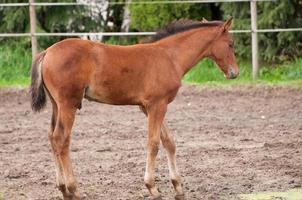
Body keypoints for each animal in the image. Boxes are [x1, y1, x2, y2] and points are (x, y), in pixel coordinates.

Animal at [30, 18, 238, 200]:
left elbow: (169, 141)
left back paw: (63, 189)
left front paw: (178, 187)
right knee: (61, 139)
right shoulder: (157, 105)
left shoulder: (148, 107)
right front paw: (152, 188)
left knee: (52, 137)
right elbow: (153, 143)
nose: (234, 73)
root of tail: (47, 52)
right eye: (231, 44)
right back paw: (74, 189)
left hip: (56, 105)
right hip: (68, 104)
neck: (169, 57)